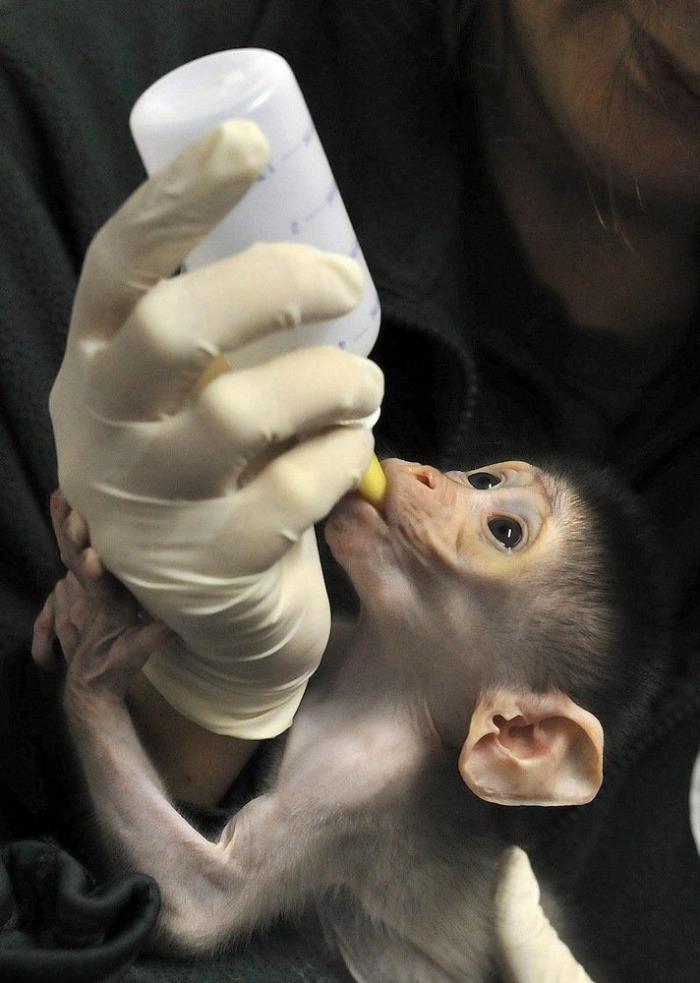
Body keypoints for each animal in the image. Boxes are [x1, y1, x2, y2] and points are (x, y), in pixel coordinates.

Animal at [38, 457, 668, 982]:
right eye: (486, 480)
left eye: (505, 532)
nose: (427, 475)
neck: (382, 679)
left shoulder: (357, 784)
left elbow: (201, 900)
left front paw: (97, 654)